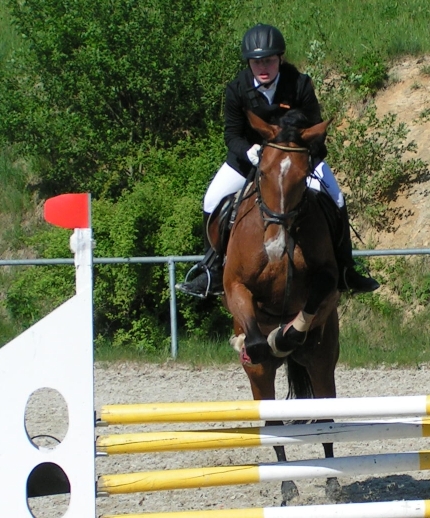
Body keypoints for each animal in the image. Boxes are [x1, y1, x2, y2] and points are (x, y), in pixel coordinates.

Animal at [210, 108, 340, 504]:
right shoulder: (235, 285)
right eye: (263, 172)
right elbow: (253, 335)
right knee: (273, 421)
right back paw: (287, 483)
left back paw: (331, 481)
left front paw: (286, 335)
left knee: (326, 415)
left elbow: (311, 303)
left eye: (302, 175)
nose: (275, 246)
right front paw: (258, 342)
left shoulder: (327, 279)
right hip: (261, 378)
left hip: (323, 360)